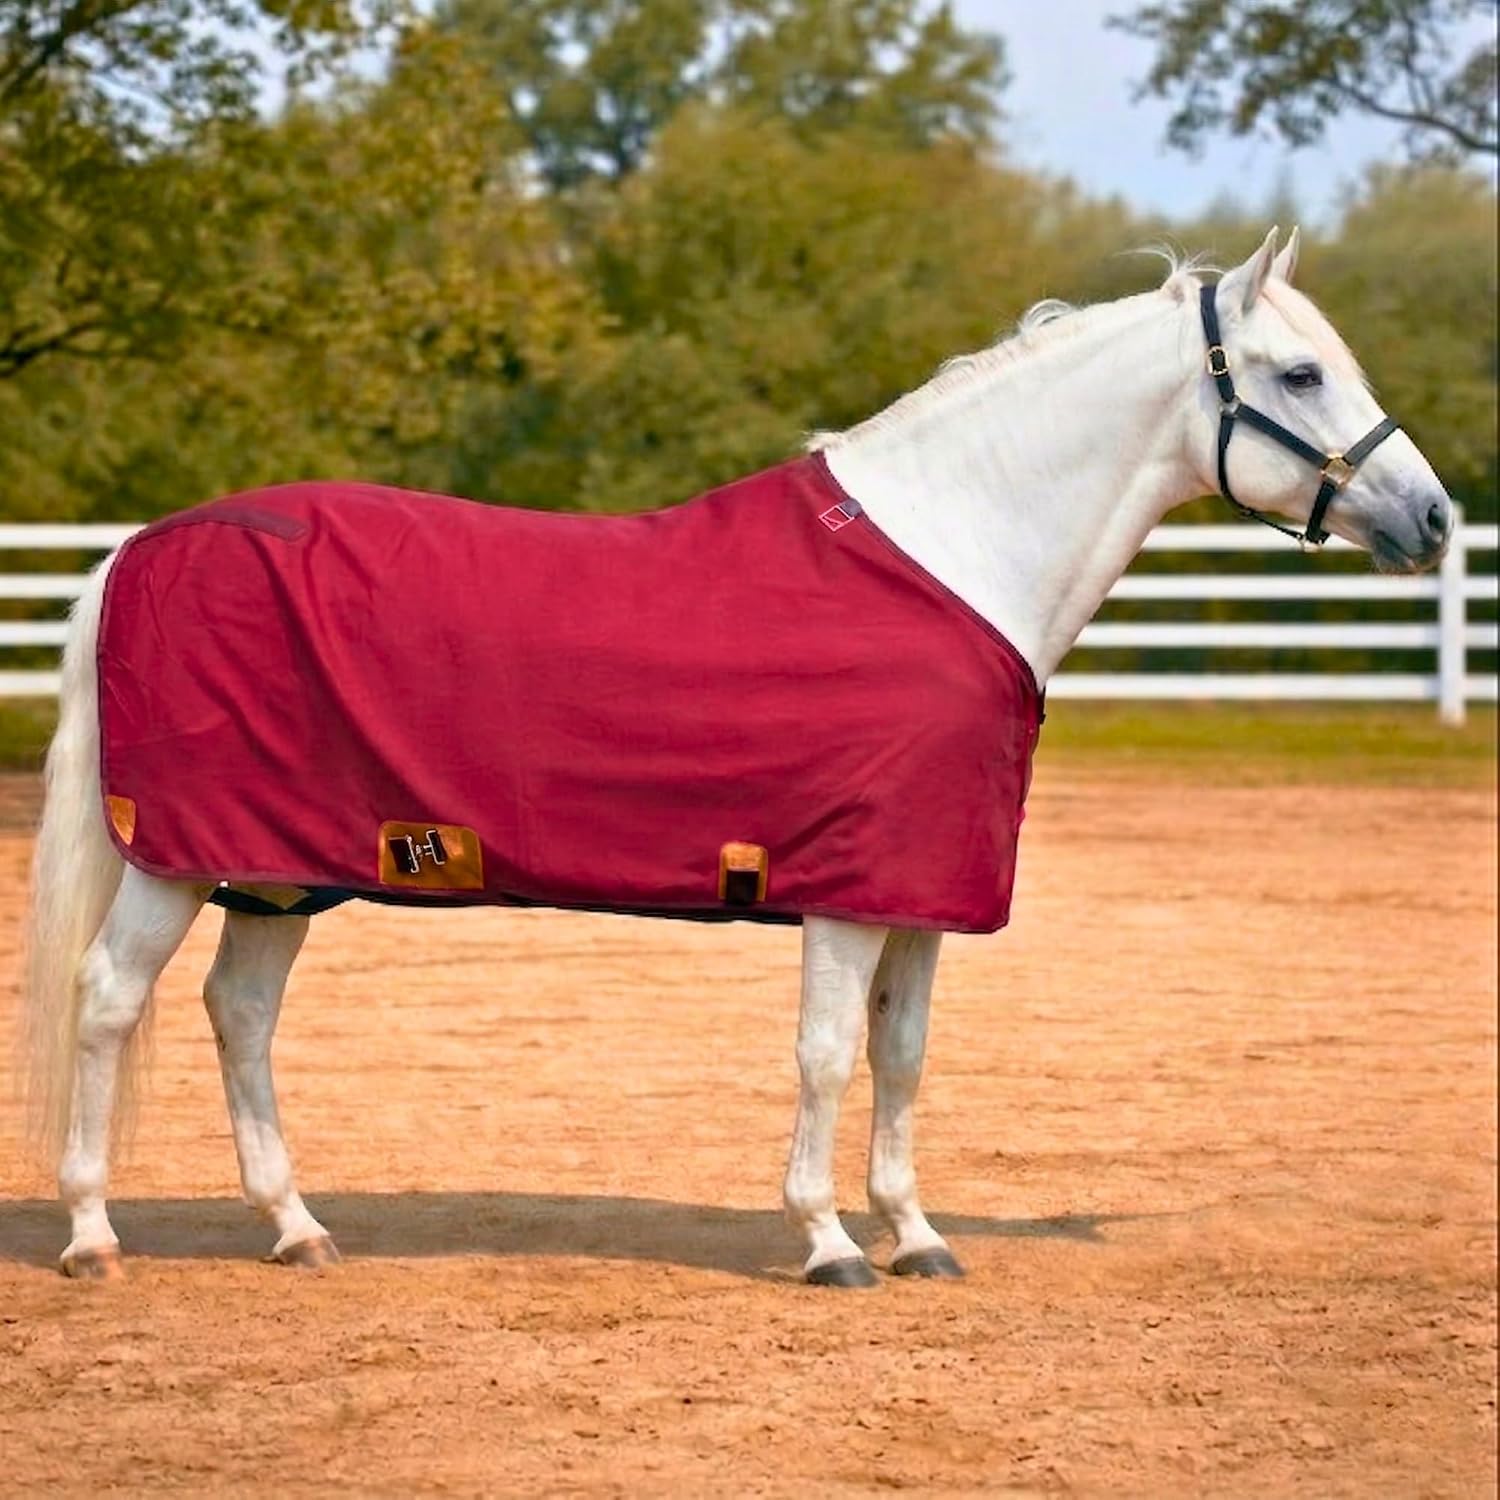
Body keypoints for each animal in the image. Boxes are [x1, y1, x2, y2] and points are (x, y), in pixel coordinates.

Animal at [19, 228, 1452, 1287]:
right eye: (1300, 375)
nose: (1434, 518)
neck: (952, 554)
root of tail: (142, 544)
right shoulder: (844, 891)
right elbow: (825, 1055)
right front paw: (827, 1244)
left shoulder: (919, 890)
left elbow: (902, 1055)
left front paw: (917, 1235)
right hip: (177, 861)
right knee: (110, 1001)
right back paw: (92, 1236)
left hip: (277, 869)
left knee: (240, 1014)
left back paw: (298, 1229)